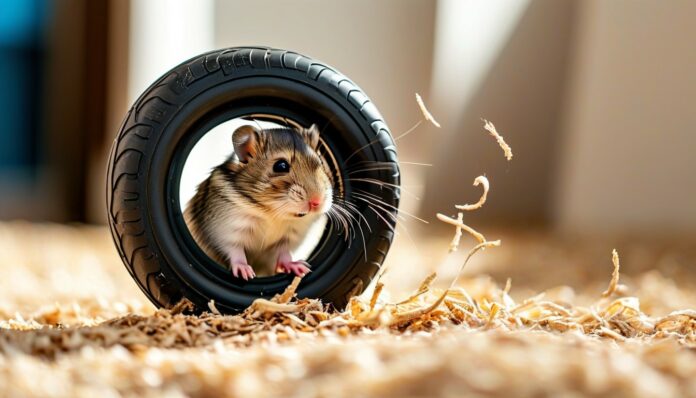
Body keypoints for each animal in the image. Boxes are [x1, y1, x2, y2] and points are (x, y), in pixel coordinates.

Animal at [184, 123, 334, 282]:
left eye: (320, 162)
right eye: (281, 166)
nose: (317, 202)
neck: (273, 213)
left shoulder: (288, 238)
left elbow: (284, 254)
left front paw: (301, 268)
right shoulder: (226, 230)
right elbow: (235, 250)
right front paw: (245, 273)